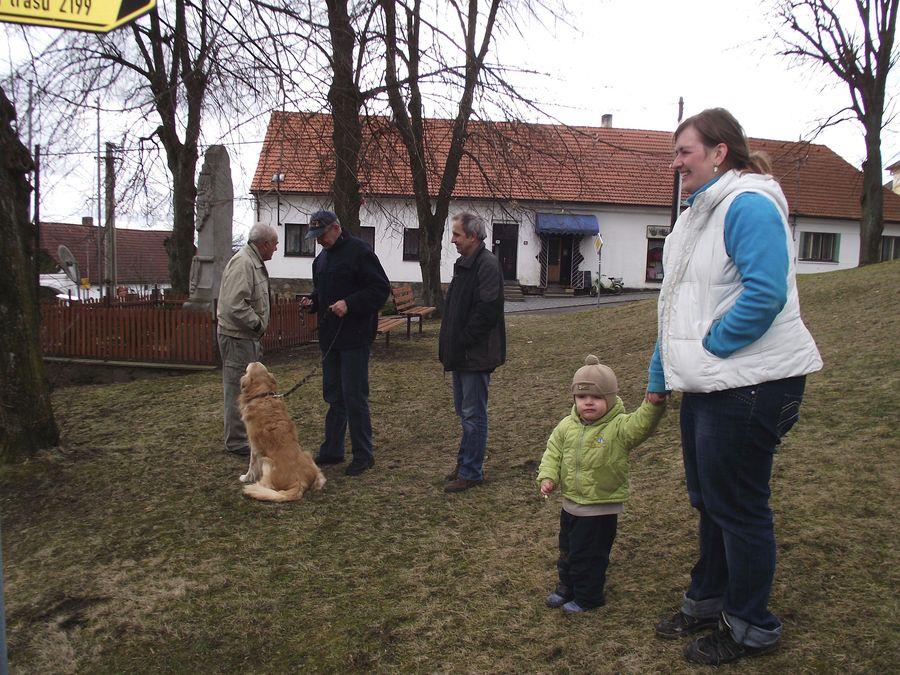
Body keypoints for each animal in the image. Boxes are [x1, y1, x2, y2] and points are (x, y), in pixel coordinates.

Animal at [237, 361, 326, 502]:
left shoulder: (254, 447)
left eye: (248, 369)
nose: (254, 361)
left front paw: (245, 478)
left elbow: (251, 466)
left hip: (267, 461)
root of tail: (300, 482)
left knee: (267, 485)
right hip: (308, 456)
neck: (263, 395)